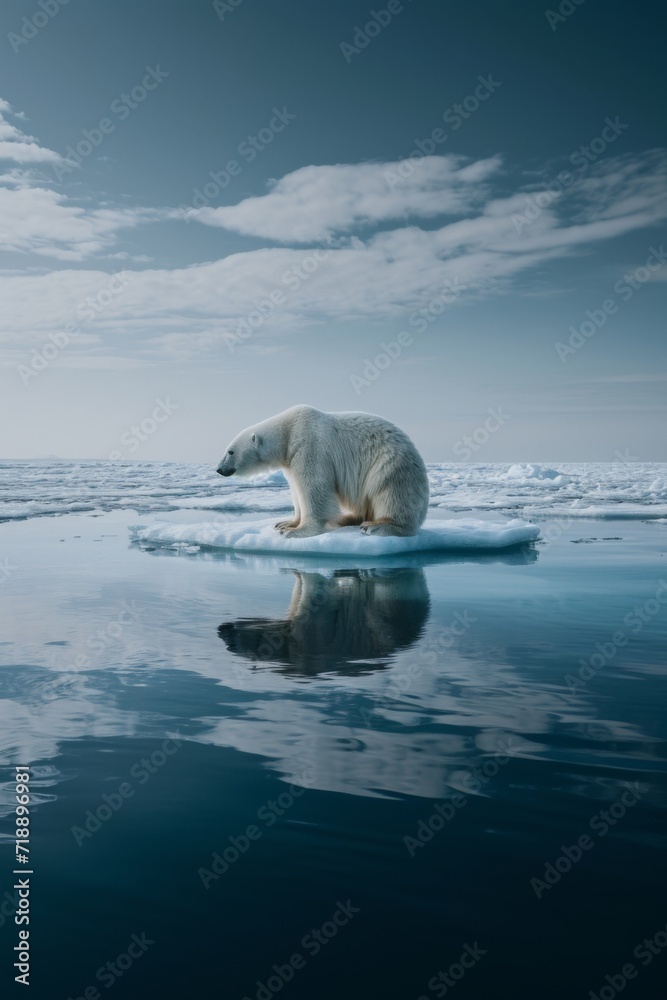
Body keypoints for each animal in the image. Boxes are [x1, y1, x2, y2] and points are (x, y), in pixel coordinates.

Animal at [216, 404, 430, 538]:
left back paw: (377, 526)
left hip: (390, 462)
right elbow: (296, 491)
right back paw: (347, 518)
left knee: (391, 491)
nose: (219, 469)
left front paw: (296, 531)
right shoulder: (290, 460)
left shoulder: (309, 446)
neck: (288, 432)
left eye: (230, 451)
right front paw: (285, 523)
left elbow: (313, 488)